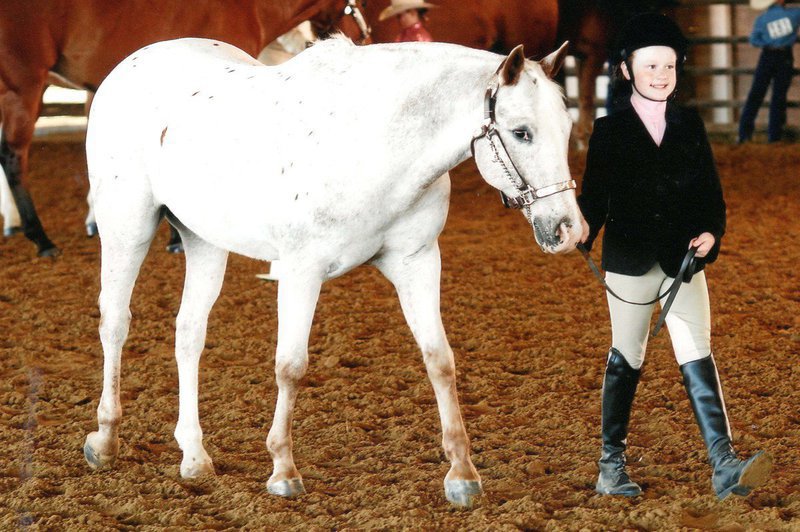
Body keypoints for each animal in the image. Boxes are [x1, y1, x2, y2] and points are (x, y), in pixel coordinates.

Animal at [82, 35, 580, 507]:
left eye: (568, 127)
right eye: (521, 132)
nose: (568, 230)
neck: (373, 143)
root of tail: (131, 64)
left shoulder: (418, 261)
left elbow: (439, 360)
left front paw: (462, 474)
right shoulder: (300, 270)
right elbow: (291, 366)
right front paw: (283, 471)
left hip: (203, 240)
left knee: (188, 333)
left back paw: (194, 456)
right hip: (126, 227)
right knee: (115, 323)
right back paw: (104, 440)